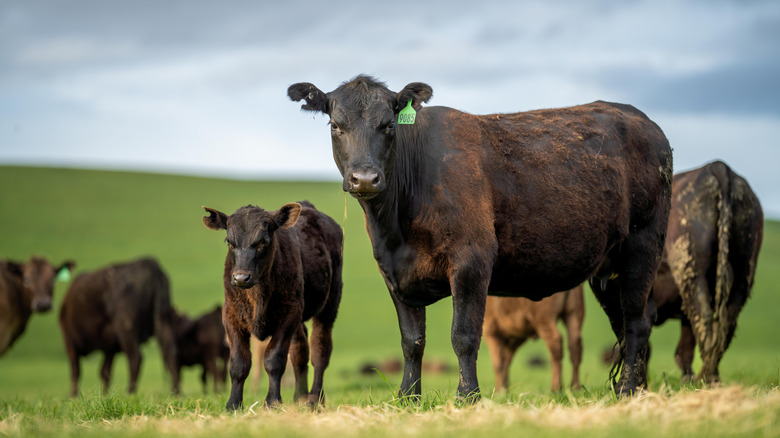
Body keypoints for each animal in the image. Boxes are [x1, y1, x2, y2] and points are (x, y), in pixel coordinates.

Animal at [59, 257, 179, 397]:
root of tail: (148, 263)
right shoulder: (109, 346)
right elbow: (104, 372)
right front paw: (105, 395)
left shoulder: (69, 340)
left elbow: (76, 371)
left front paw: (73, 396)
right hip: (163, 320)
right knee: (170, 353)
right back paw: (175, 392)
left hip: (126, 327)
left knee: (135, 358)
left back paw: (130, 392)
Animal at [202, 200, 343, 411]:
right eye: (229, 242)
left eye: (263, 241)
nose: (241, 277)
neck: (257, 297)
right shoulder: (231, 316)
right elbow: (239, 363)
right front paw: (233, 404)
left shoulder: (288, 316)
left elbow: (274, 360)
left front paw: (272, 402)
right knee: (300, 350)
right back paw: (300, 397)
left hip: (329, 304)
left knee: (320, 350)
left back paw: (314, 399)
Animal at [288, 75, 673, 398]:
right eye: (336, 125)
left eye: (389, 125)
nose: (365, 178)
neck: (397, 228)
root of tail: (643, 120)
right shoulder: (394, 273)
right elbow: (412, 341)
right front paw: (408, 397)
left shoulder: (471, 261)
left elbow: (464, 336)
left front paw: (467, 396)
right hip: (608, 267)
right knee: (623, 323)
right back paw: (632, 387)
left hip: (642, 246)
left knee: (636, 321)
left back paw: (628, 389)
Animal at [651, 160, 763, 383]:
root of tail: (718, 167)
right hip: (743, 276)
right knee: (726, 323)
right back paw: (711, 376)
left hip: (693, 274)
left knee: (702, 318)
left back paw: (704, 377)